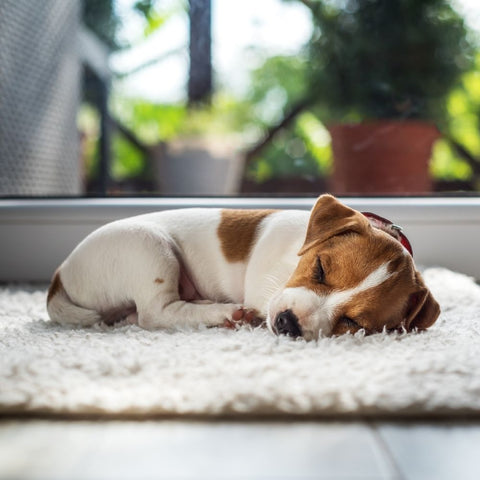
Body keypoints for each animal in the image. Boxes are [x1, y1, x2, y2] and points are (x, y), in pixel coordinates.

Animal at [47, 193, 440, 340]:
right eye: (320, 269)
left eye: (353, 322)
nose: (286, 323)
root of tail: (59, 276)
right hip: (150, 248)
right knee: (156, 314)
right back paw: (226, 313)